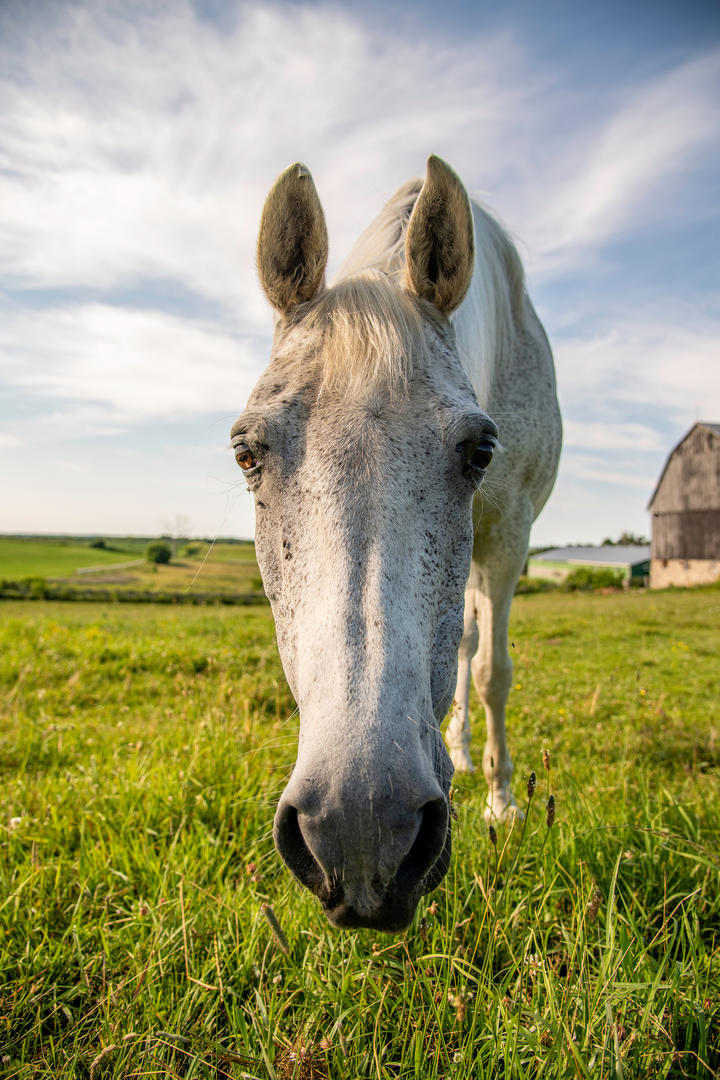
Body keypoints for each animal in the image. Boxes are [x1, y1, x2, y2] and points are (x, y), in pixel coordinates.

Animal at [232, 154, 561, 928]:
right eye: (246, 453)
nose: (357, 830)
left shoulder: (511, 536)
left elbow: (493, 671)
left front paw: (504, 804)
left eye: (480, 451)